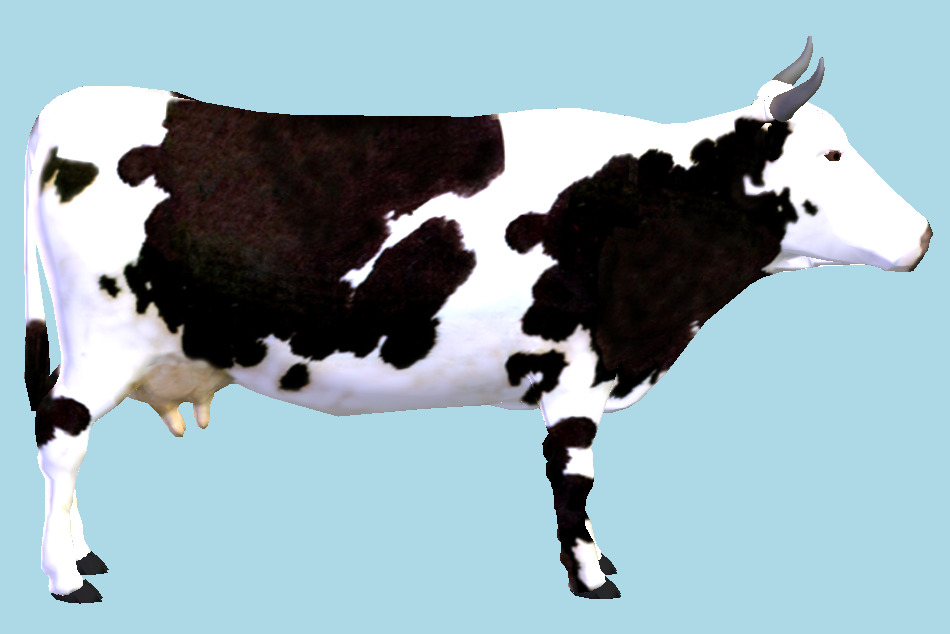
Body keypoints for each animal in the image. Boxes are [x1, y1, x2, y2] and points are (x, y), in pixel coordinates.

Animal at [24, 37, 932, 603]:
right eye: (833, 154)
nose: (925, 234)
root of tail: (66, 108)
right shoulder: (578, 373)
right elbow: (574, 480)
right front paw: (592, 578)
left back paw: (83, 552)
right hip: (103, 340)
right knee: (61, 438)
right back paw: (68, 579)